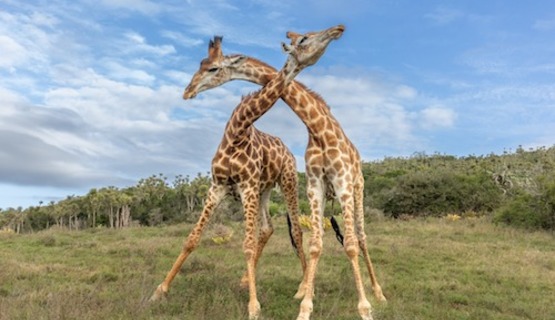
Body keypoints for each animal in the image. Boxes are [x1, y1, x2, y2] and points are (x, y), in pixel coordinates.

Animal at [150, 25, 346, 320]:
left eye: (213, 68)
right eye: (203, 65)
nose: (188, 91)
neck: (237, 132)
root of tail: (286, 149)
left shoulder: (246, 186)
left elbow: (247, 245)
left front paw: (254, 306)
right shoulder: (218, 186)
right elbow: (192, 239)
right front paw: (160, 290)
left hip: (286, 182)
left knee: (296, 232)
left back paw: (303, 286)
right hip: (264, 190)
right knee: (267, 229)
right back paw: (247, 279)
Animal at [182, 31, 386, 318]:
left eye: (212, 68)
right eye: (202, 65)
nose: (188, 90)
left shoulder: (342, 183)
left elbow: (350, 244)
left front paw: (364, 307)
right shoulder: (311, 185)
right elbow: (315, 244)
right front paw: (304, 303)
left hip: (353, 188)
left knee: (361, 236)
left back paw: (378, 292)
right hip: (275, 189)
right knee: (287, 232)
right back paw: (298, 286)